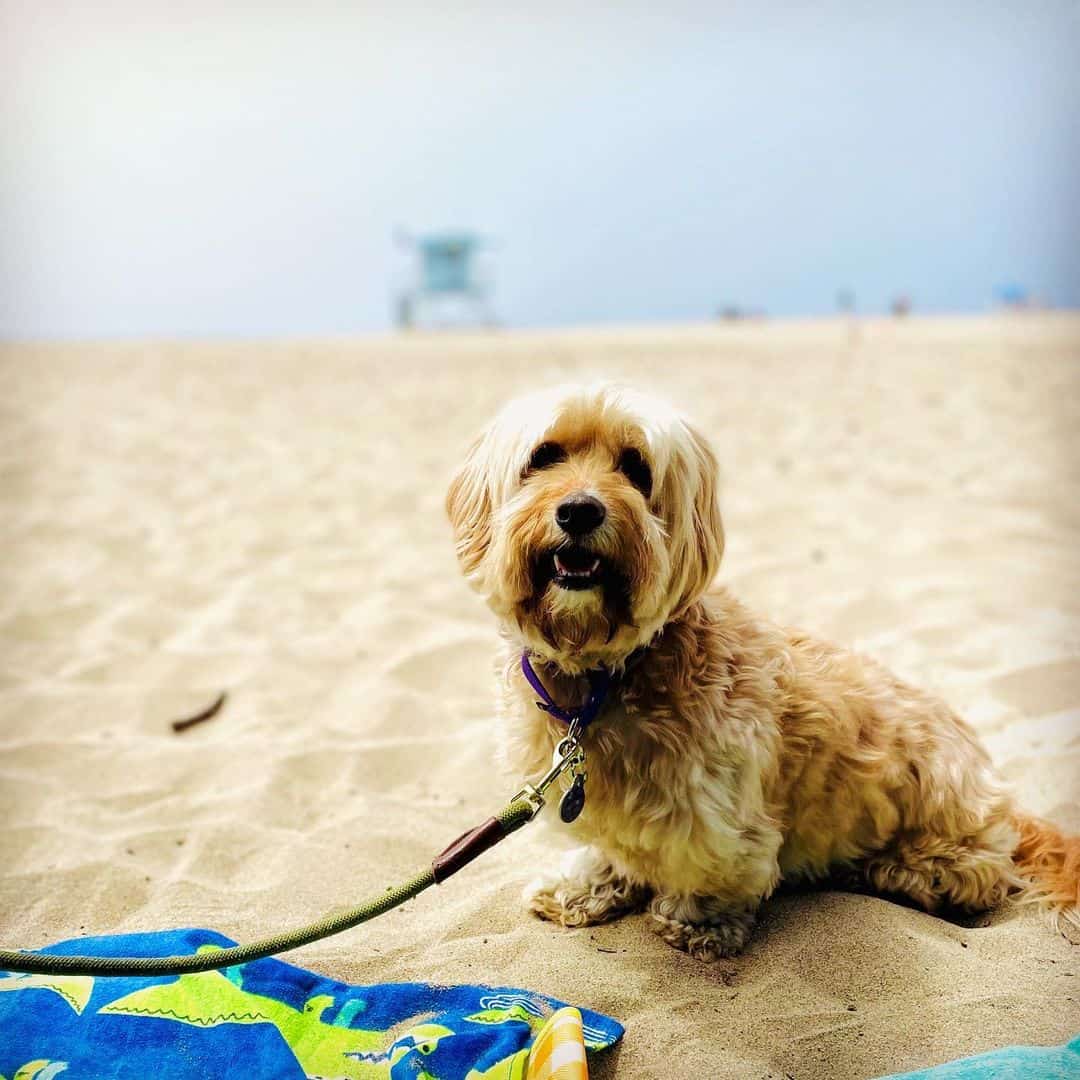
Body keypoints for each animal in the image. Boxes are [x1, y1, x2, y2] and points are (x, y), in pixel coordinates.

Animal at [442, 382, 1075, 963]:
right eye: (545, 456)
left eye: (636, 468)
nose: (579, 510)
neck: (604, 676)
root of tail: (1005, 799)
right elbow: (615, 849)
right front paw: (586, 886)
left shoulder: (719, 818)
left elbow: (713, 871)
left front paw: (698, 922)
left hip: (947, 836)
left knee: (966, 876)